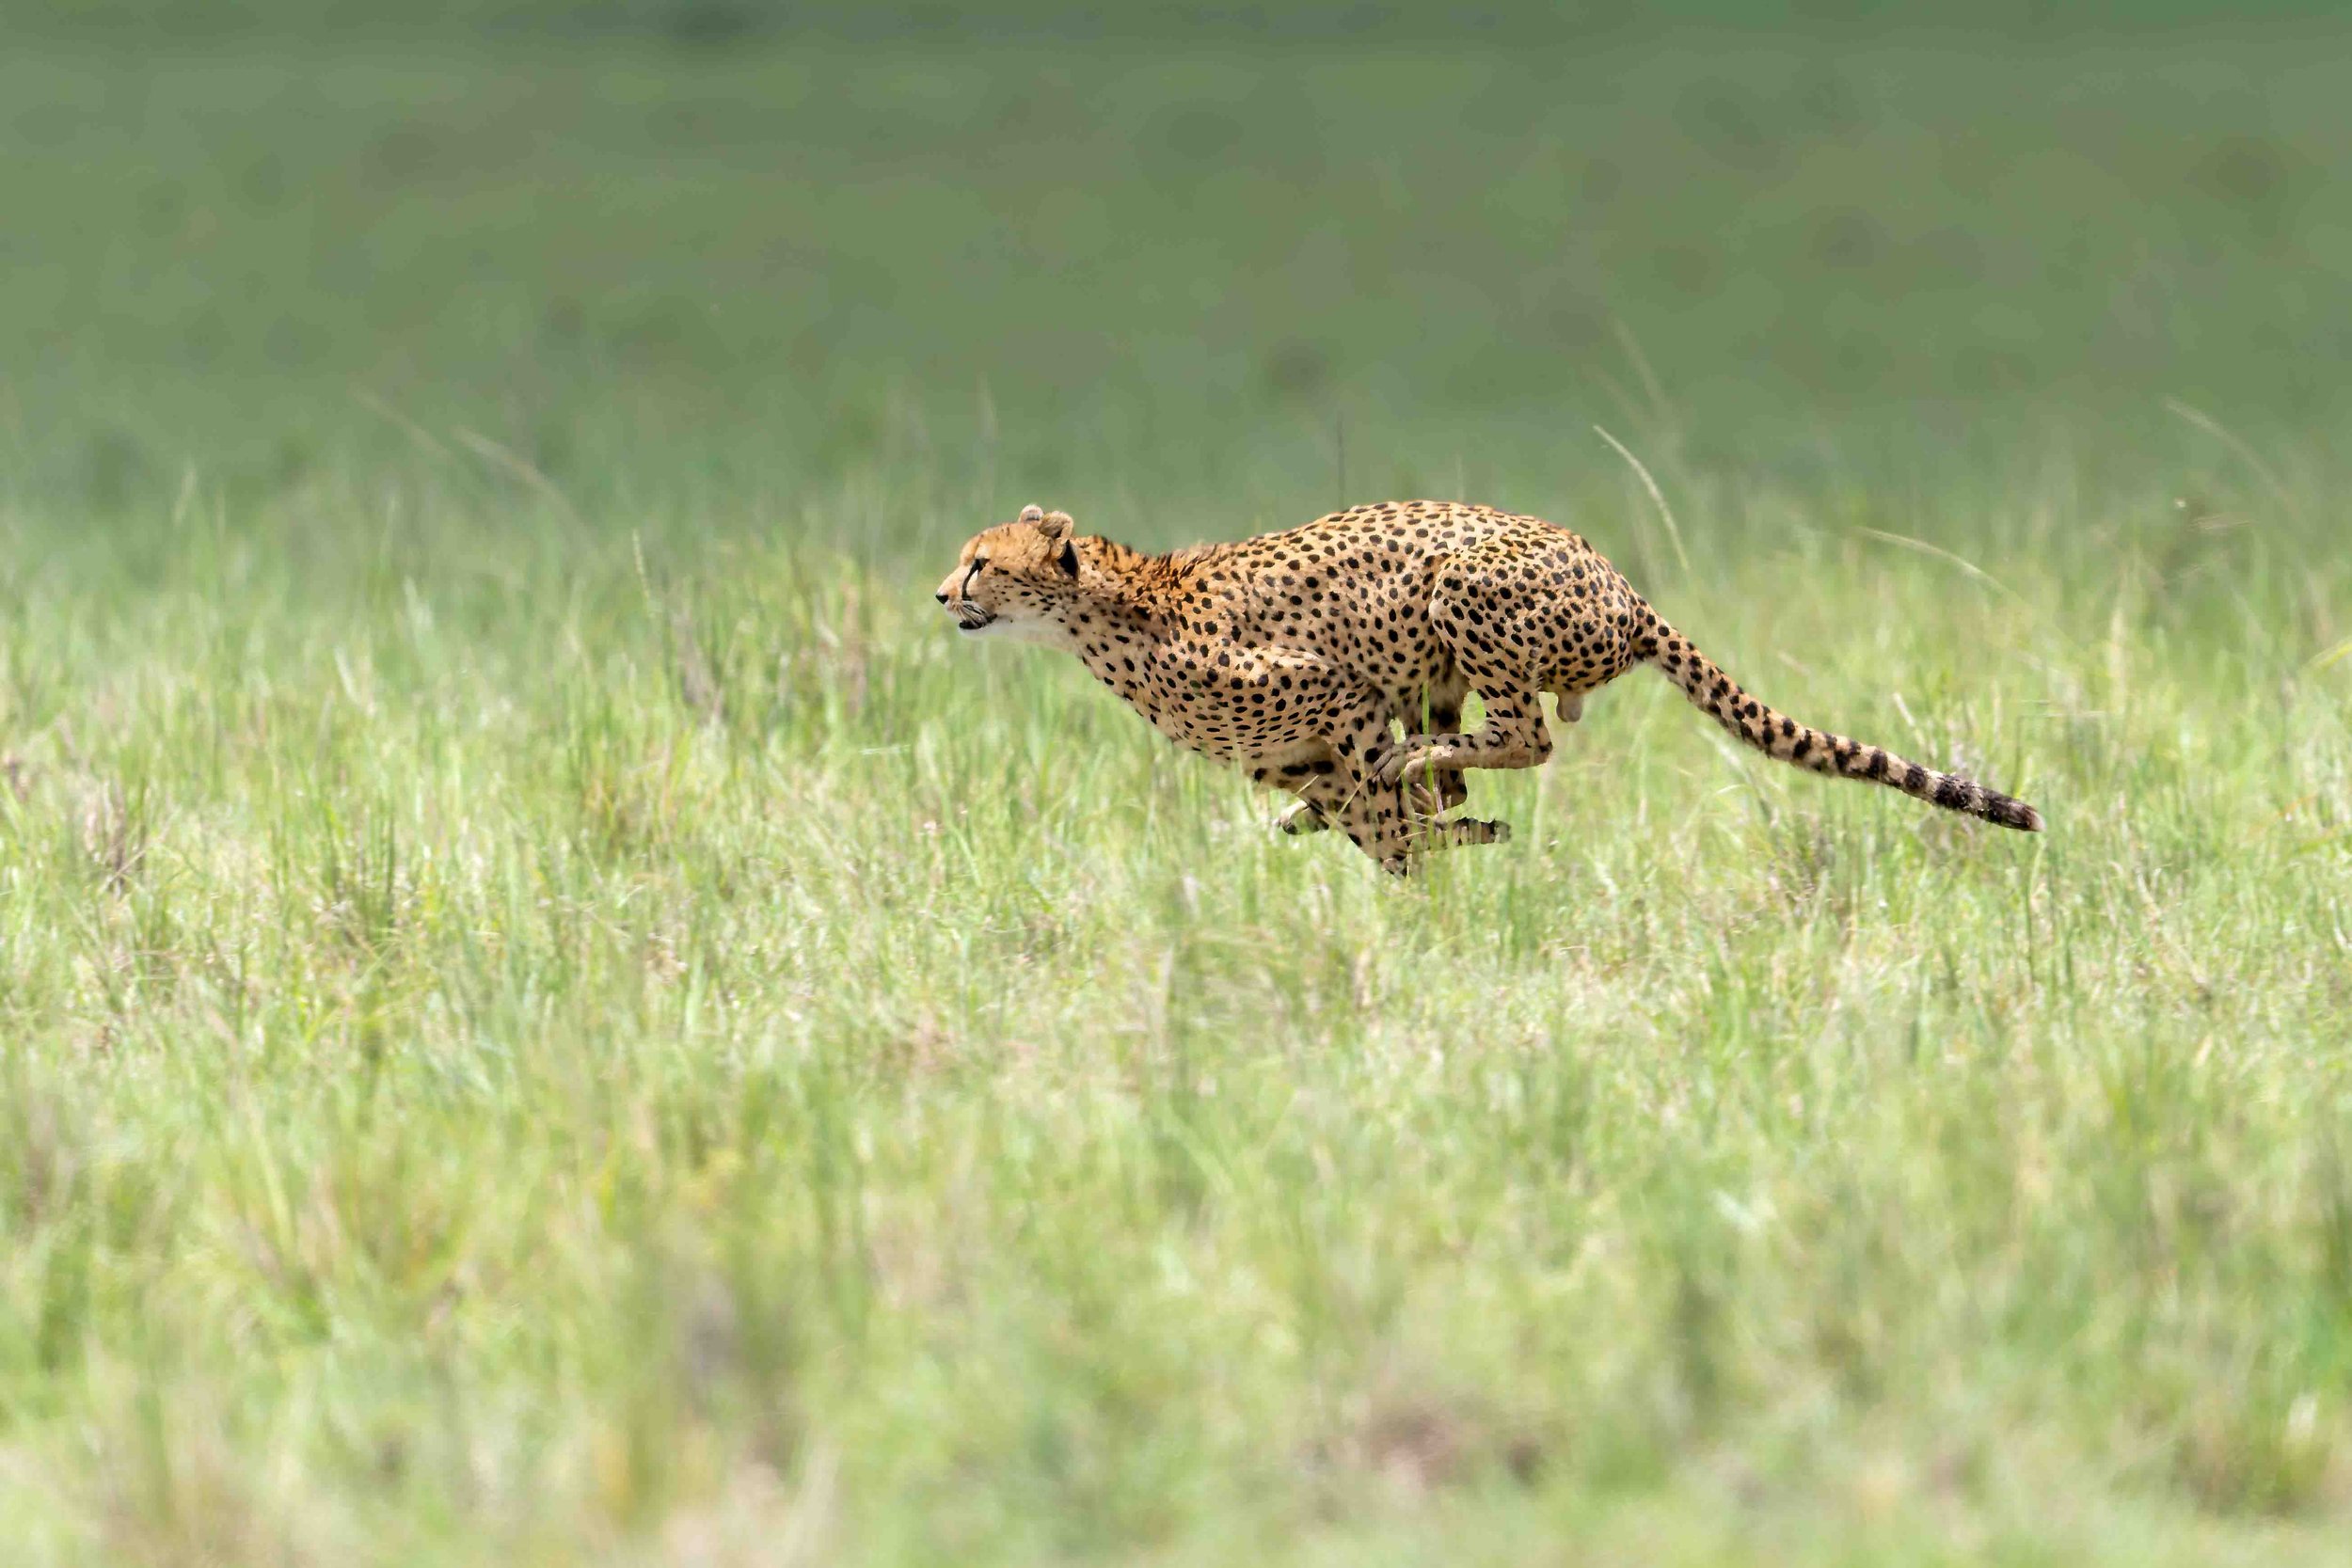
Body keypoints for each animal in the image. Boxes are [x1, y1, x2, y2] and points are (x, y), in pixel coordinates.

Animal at [935, 500, 2041, 873]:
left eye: (981, 562)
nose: (942, 592)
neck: (1112, 610)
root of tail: (1622, 584)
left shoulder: (1336, 696)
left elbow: (1385, 820)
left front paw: (1421, 886)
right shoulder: (1297, 752)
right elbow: (1355, 807)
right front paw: (1424, 840)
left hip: (1460, 590)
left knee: (1528, 738)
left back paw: (1432, 774)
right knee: (1472, 762)